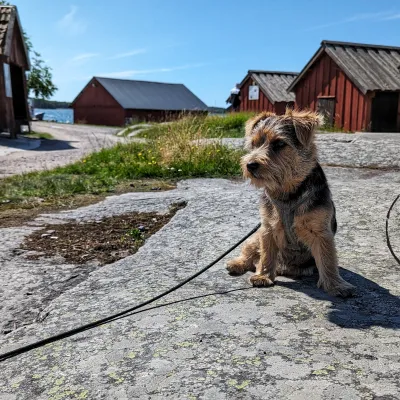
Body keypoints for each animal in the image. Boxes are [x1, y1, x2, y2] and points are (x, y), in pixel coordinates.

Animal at [227, 109, 354, 296]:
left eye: (279, 144)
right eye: (254, 143)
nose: (250, 165)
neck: (288, 193)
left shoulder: (321, 232)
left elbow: (328, 259)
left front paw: (336, 284)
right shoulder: (267, 229)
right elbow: (267, 254)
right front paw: (263, 275)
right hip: (255, 237)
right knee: (250, 253)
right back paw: (236, 263)